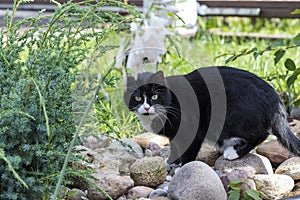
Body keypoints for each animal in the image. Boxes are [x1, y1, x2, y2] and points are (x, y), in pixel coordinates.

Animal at [123, 66, 300, 165]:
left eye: (154, 96)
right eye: (137, 98)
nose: (146, 108)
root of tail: (275, 100)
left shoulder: (193, 128)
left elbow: (188, 150)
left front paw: (183, 168)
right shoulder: (175, 135)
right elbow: (175, 146)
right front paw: (172, 161)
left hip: (226, 117)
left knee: (262, 133)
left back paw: (233, 152)